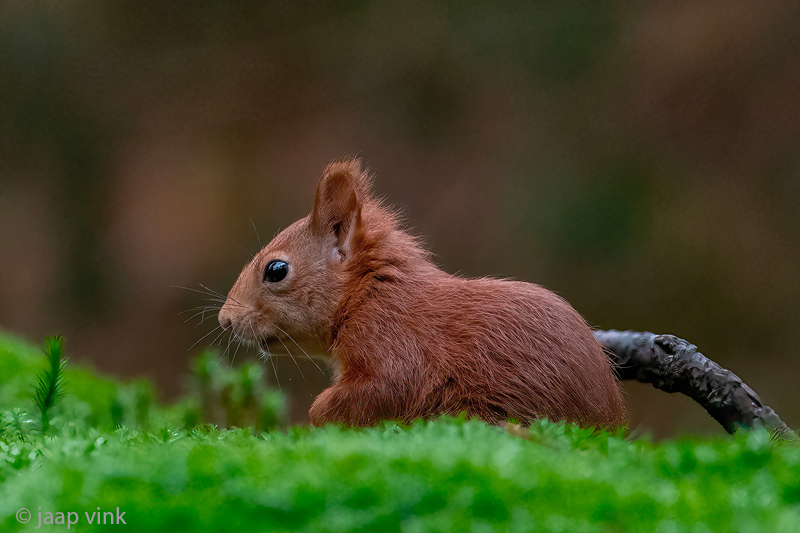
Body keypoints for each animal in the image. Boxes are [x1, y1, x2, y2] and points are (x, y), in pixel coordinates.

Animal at [217, 159, 624, 428]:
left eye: (276, 270)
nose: (225, 320)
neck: (366, 295)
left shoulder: (393, 341)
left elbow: (387, 388)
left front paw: (318, 413)